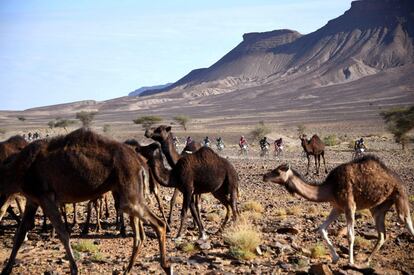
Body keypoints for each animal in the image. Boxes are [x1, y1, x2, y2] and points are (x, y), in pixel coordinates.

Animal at [0, 129, 171, 275]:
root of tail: (140, 163)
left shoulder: (46, 197)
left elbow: (63, 233)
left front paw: (74, 268)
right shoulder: (33, 199)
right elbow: (20, 234)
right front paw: (7, 269)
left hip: (129, 195)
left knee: (158, 224)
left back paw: (166, 266)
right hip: (128, 194)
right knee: (139, 236)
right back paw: (127, 270)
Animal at [264, 157, 412, 268]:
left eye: (277, 171)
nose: (264, 176)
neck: (329, 188)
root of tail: (397, 178)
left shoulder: (349, 206)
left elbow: (350, 235)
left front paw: (350, 262)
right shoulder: (337, 208)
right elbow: (322, 229)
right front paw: (335, 257)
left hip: (400, 194)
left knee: (406, 221)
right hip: (378, 208)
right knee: (382, 235)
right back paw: (367, 260)